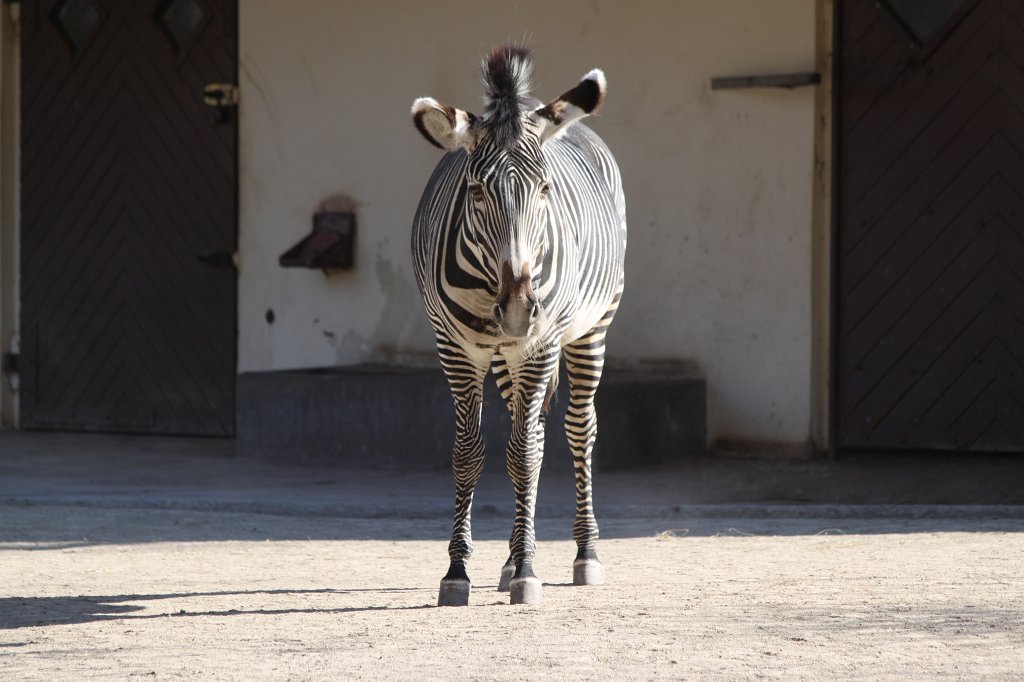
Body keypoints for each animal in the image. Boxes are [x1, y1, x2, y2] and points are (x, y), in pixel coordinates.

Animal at [410, 45, 626, 606]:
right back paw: (509, 558)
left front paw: (528, 571)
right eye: (477, 191)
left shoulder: (540, 343)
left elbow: (525, 455)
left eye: (545, 188)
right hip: (509, 356)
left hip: (591, 329)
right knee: (530, 431)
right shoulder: (454, 348)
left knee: (577, 429)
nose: (516, 308)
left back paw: (584, 554)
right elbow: (470, 453)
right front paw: (459, 571)